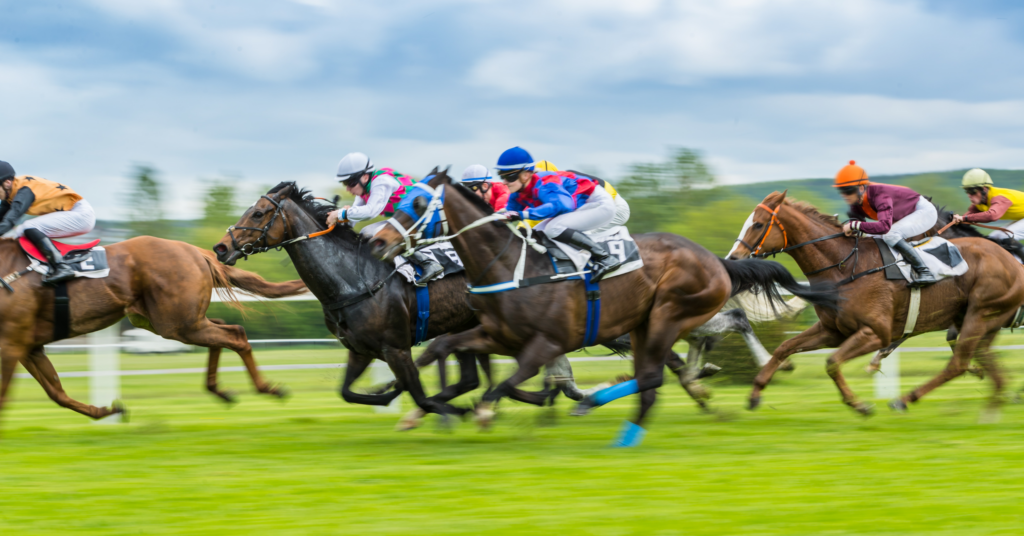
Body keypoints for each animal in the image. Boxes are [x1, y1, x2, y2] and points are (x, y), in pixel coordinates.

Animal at [0, 236, 307, 426]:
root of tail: (197, 252)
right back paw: (219, 389)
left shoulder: (11, 343)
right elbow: (56, 392)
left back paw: (267, 388)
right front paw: (109, 409)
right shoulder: (27, 346)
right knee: (224, 328)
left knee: (236, 334)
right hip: (172, 320)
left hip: (176, 323)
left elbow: (6, 396)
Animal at [368, 169, 841, 442]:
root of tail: (714, 259)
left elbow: (503, 385)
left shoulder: (545, 342)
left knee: (668, 364)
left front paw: (477, 411)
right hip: (645, 323)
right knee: (665, 366)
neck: (511, 264)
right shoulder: (496, 335)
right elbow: (440, 349)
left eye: (415, 202)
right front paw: (409, 401)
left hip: (667, 314)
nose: (377, 241)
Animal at [728, 192, 1024, 417]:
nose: (733, 258)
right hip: (981, 321)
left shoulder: (875, 333)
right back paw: (993, 405)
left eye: (758, 224)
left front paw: (860, 405)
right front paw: (755, 394)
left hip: (980, 313)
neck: (845, 267)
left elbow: (832, 362)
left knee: (959, 364)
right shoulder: (833, 331)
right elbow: (785, 347)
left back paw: (904, 400)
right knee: (986, 364)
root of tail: (1010, 260)